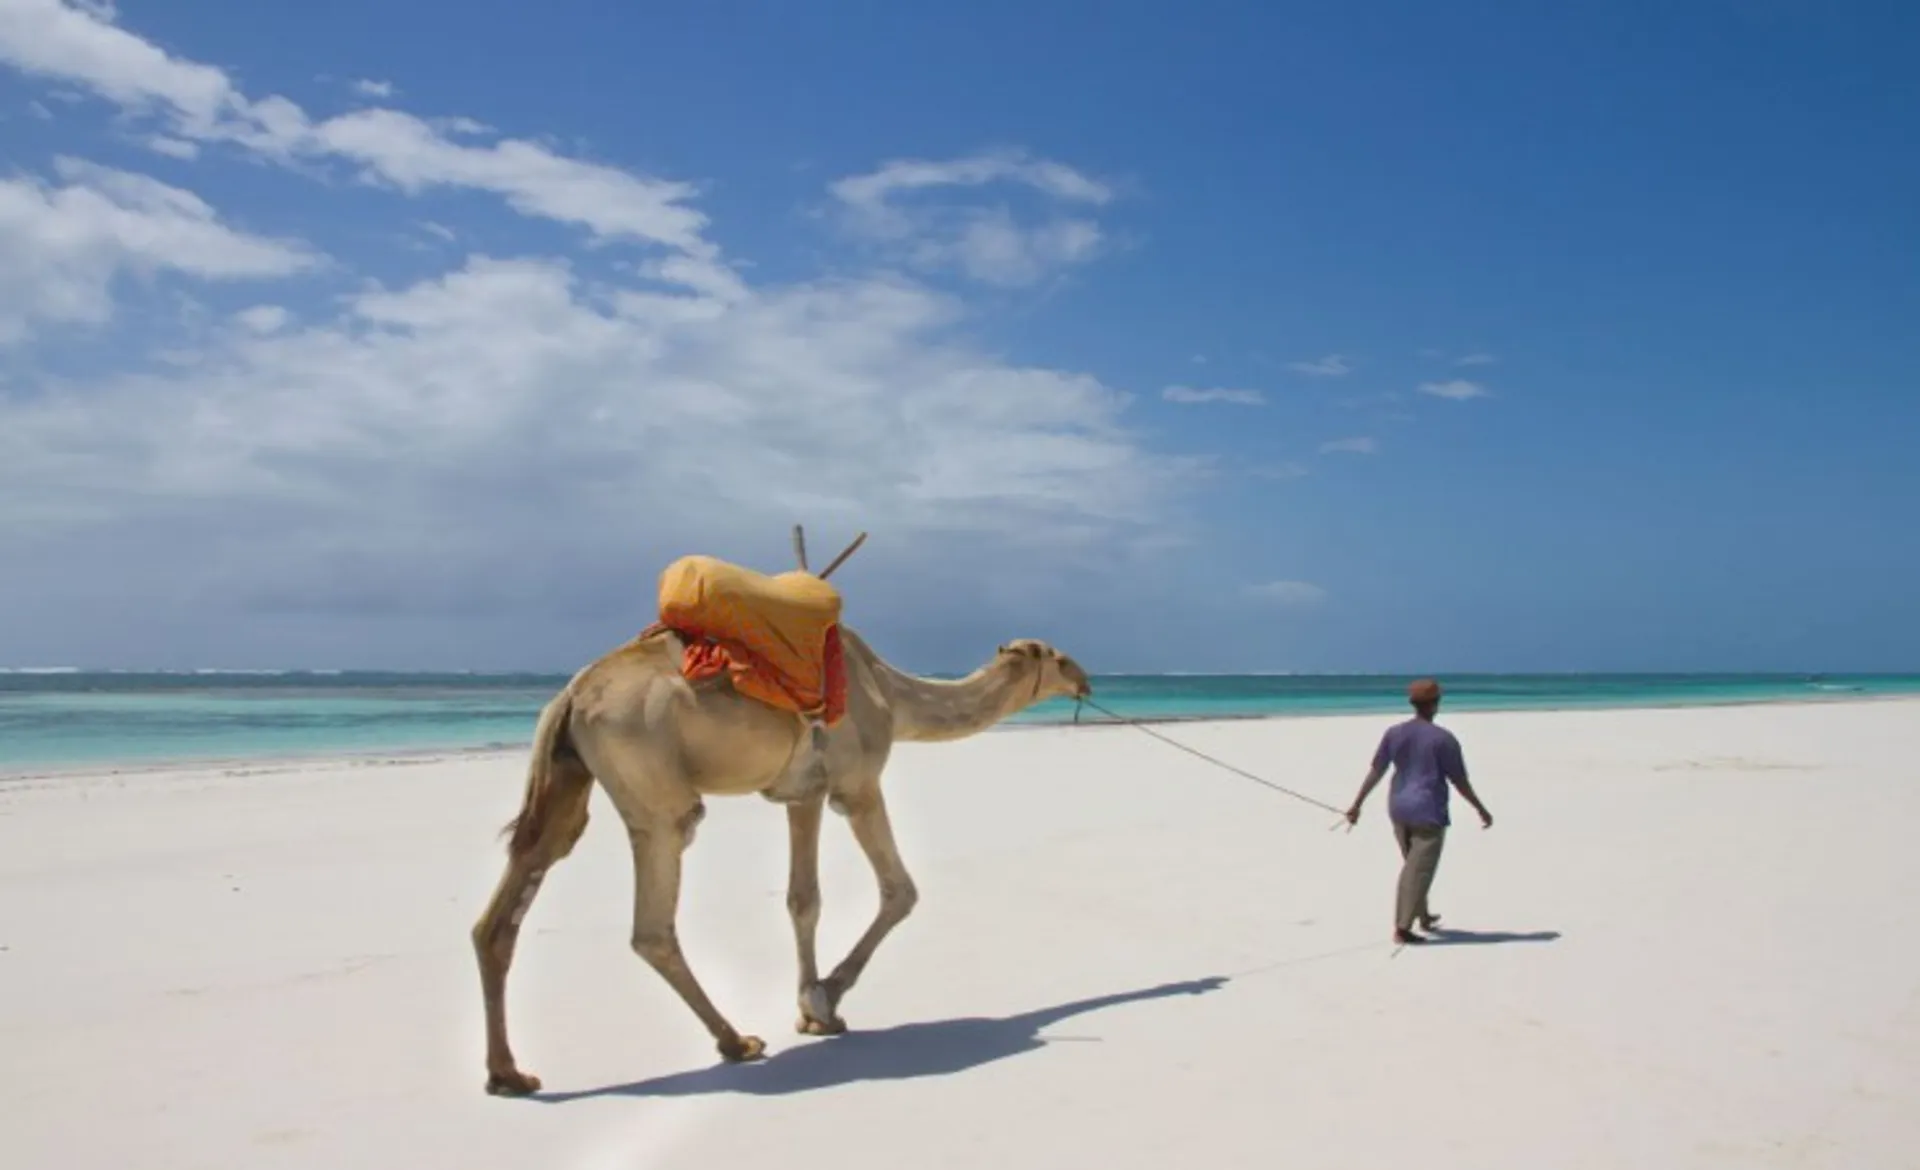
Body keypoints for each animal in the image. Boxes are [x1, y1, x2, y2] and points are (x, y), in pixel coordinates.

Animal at [469, 535, 1092, 1096]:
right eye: (1058, 655)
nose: (1086, 677)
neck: (891, 693)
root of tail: (569, 697)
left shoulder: (799, 794)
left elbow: (801, 900)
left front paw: (814, 1008)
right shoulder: (852, 785)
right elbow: (890, 891)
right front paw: (824, 1000)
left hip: (567, 777)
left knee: (517, 888)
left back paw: (509, 1075)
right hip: (652, 782)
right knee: (653, 918)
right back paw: (736, 1041)